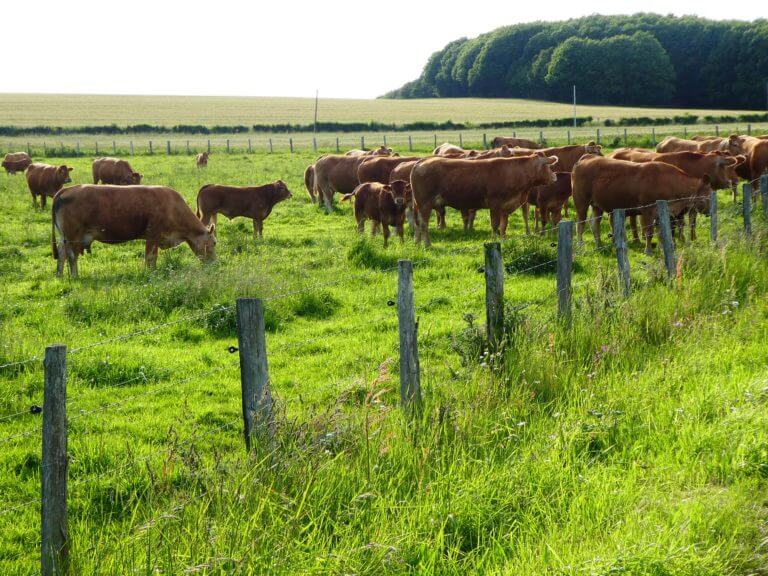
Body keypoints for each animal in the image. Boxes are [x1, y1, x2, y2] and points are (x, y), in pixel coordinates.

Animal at [53, 183, 216, 276]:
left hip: (64, 238)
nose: (215, 264)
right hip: (73, 237)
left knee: (61, 254)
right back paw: (74, 276)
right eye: (214, 243)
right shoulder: (152, 236)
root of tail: (68, 189)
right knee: (72, 256)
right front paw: (150, 273)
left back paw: (59, 275)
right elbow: (150, 257)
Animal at [408, 153, 560, 245]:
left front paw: (504, 239)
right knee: (423, 223)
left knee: (417, 222)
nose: (555, 177)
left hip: (418, 204)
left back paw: (417, 242)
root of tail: (422, 160)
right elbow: (495, 224)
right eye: (548, 165)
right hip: (425, 204)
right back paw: (427, 244)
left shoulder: (505, 206)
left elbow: (504, 225)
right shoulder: (495, 204)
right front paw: (494, 239)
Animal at [572, 154, 712, 253]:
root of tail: (587, 157)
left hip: (597, 205)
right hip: (581, 202)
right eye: (708, 195)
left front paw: (662, 248)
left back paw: (599, 245)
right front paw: (648, 250)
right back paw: (580, 245)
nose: (710, 211)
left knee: (595, 224)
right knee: (580, 224)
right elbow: (649, 232)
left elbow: (661, 233)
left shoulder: (662, 213)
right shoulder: (647, 211)